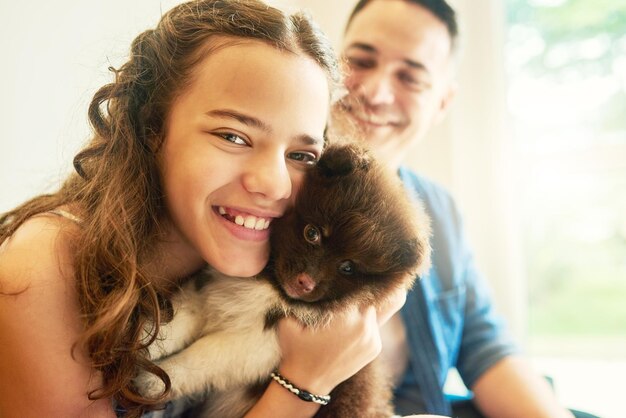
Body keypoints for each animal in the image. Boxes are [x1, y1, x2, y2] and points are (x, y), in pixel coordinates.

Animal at [135, 142, 432, 416]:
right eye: (312, 233)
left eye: (348, 267)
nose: (305, 282)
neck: (270, 285)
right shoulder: (210, 292)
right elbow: (177, 322)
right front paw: (141, 344)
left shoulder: (259, 345)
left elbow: (202, 356)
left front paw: (154, 378)